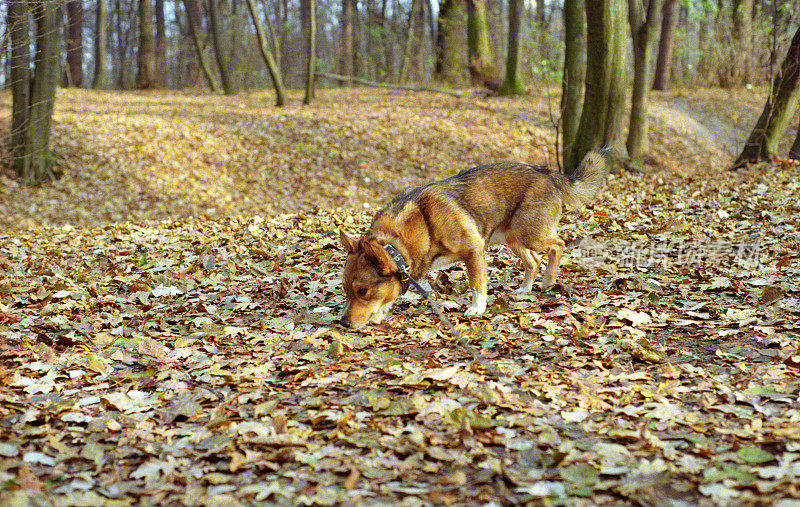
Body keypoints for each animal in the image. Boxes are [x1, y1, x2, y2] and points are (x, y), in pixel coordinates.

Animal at [334, 148, 608, 330]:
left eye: (363, 291)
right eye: (345, 290)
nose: (343, 323)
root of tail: (547, 172)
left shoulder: (473, 250)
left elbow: (477, 283)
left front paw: (477, 308)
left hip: (529, 234)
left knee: (558, 245)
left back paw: (549, 279)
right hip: (514, 237)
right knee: (534, 262)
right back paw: (525, 288)